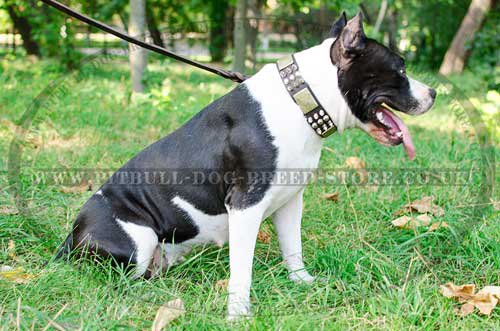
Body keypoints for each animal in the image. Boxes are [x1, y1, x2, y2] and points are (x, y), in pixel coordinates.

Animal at [56, 13, 436, 320]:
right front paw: (238, 312)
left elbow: (293, 246)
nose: (434, 93)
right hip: (139, 239)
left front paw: (302, 281)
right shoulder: (245, 205)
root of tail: (71, 236)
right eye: (401, 69)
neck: (302, 101)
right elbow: (242, 269)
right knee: (126, 278)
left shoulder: (291, 200)